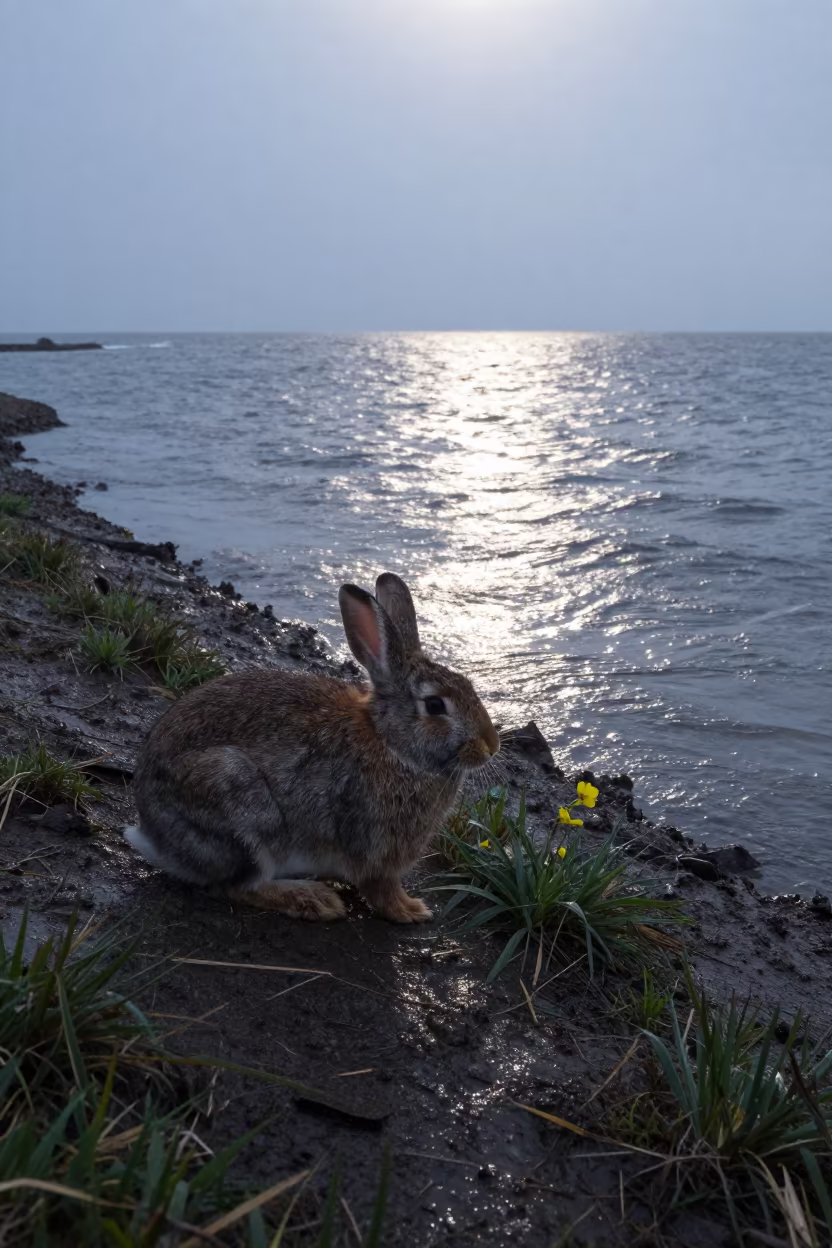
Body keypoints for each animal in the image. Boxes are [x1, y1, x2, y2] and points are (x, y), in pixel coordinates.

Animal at [124, 572, 500, 923]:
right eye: (435, 705)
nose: (491, 747)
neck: (392, 744)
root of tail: (153, 836)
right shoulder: (375, 849)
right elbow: (381, 889)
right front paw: (410, 910)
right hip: (238, 807)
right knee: (237, 886)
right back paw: (314, 900)